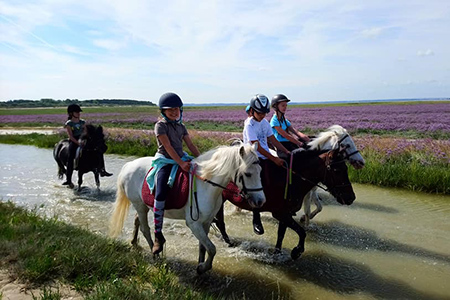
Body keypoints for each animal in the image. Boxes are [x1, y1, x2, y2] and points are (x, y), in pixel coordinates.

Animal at [110, 142, 264, 274]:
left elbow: (203, 247)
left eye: (260, 171)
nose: (261, 201)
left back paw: (134, 242)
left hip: (143, 206)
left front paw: (200, 265)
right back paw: (156, 253)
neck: (207, 185)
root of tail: (128, 165)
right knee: (145, 229)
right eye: (248, 173)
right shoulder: (193, 224)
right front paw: (203, 268)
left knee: (137, 221)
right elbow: (212, 249)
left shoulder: (206, 222)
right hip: (139, 205)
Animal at [214, 148, 356, 260]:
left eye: (346, 168)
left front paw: (277, 253)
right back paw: (229, 243)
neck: (291, 180)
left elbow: (281, 235)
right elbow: (302, 232)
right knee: (221, 223)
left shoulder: (285, 214)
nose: (351, 198)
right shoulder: (280, 213)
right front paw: (296, 252)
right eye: (337, 170)